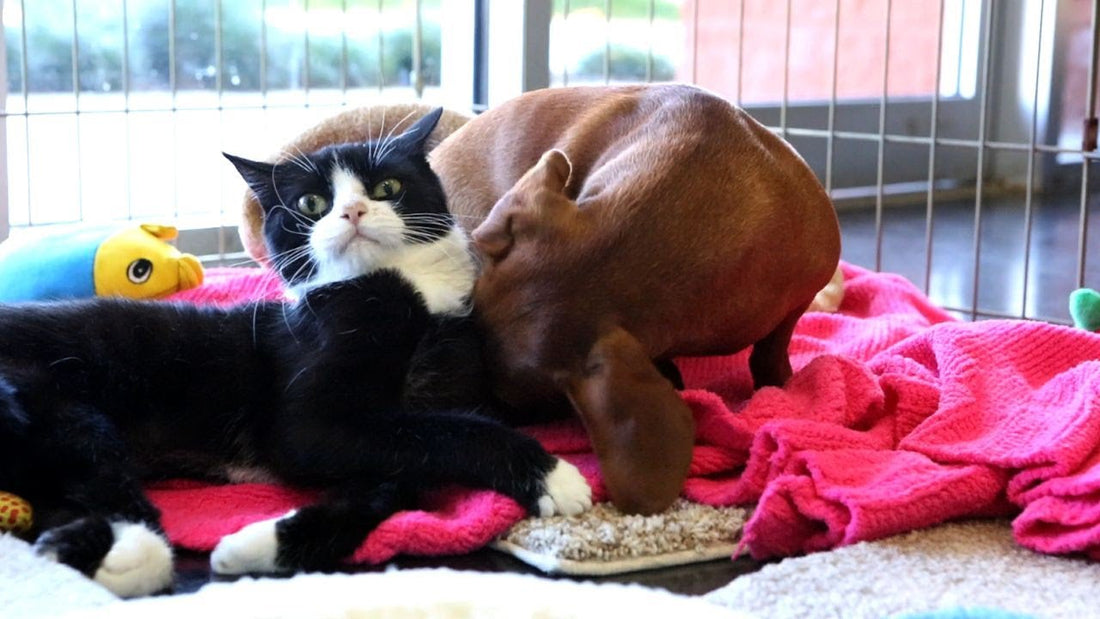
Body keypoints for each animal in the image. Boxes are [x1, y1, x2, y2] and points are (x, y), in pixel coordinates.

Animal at [2, 108, 594, 598]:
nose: (353, 211)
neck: (412, 288)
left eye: (387, 186)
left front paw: (261, 545)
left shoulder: (413, 407)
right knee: (106, 481)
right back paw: (131, 553)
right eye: (312, 203)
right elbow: (441, 432)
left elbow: (401, 473)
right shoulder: (307, 418)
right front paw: (552, 474)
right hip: (52, 401)